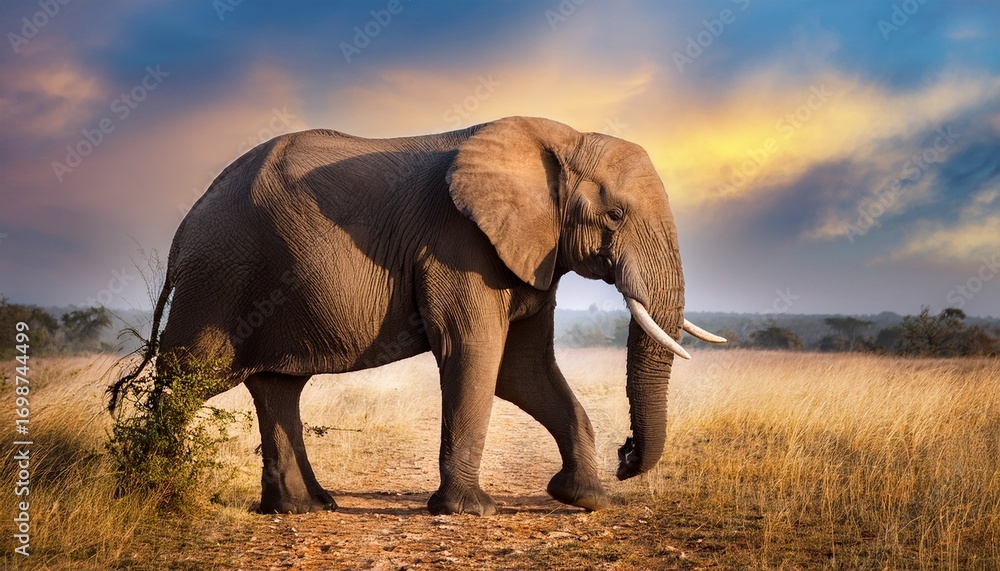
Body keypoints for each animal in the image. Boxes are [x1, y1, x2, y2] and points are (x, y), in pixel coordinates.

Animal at [109, 116, 725, 516]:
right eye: (615, 215)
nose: (627, 455)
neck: (561, 140)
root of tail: (183, 230)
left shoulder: (529, 253)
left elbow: (521, 370)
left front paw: (585, 500)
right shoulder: (458, 242)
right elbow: (476, 354)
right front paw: (470, 512)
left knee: (276, 386)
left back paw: (304, 509)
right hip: (218, 281)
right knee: (189, 378)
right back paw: (150, 496)